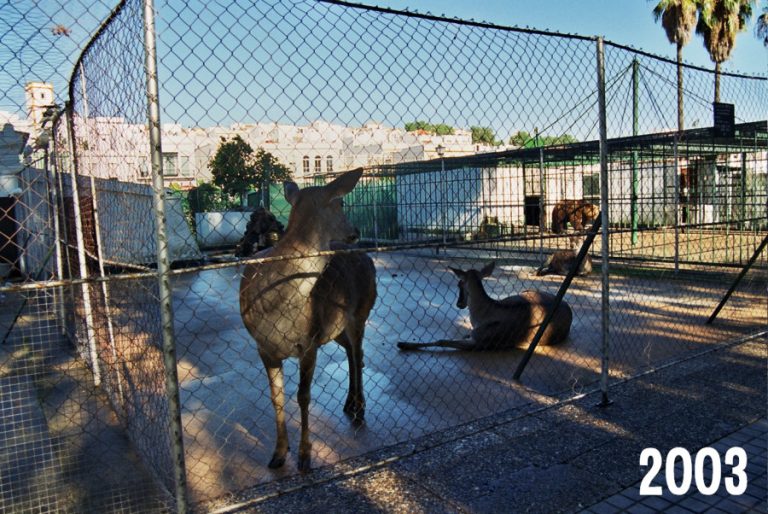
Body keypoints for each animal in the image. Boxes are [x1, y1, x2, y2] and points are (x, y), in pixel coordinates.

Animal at [237, 170, 376, 470]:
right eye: (341, 203)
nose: (356, 231)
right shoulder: (264, 347)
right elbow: (276, 396)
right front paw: (278, 454)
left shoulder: (309, 340)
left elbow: (303, 396)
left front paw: (304, 456)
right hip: (335, 327)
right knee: (351, 352)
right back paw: (349, 404)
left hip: (362, 310)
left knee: (359, 353)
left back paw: (360, 409)